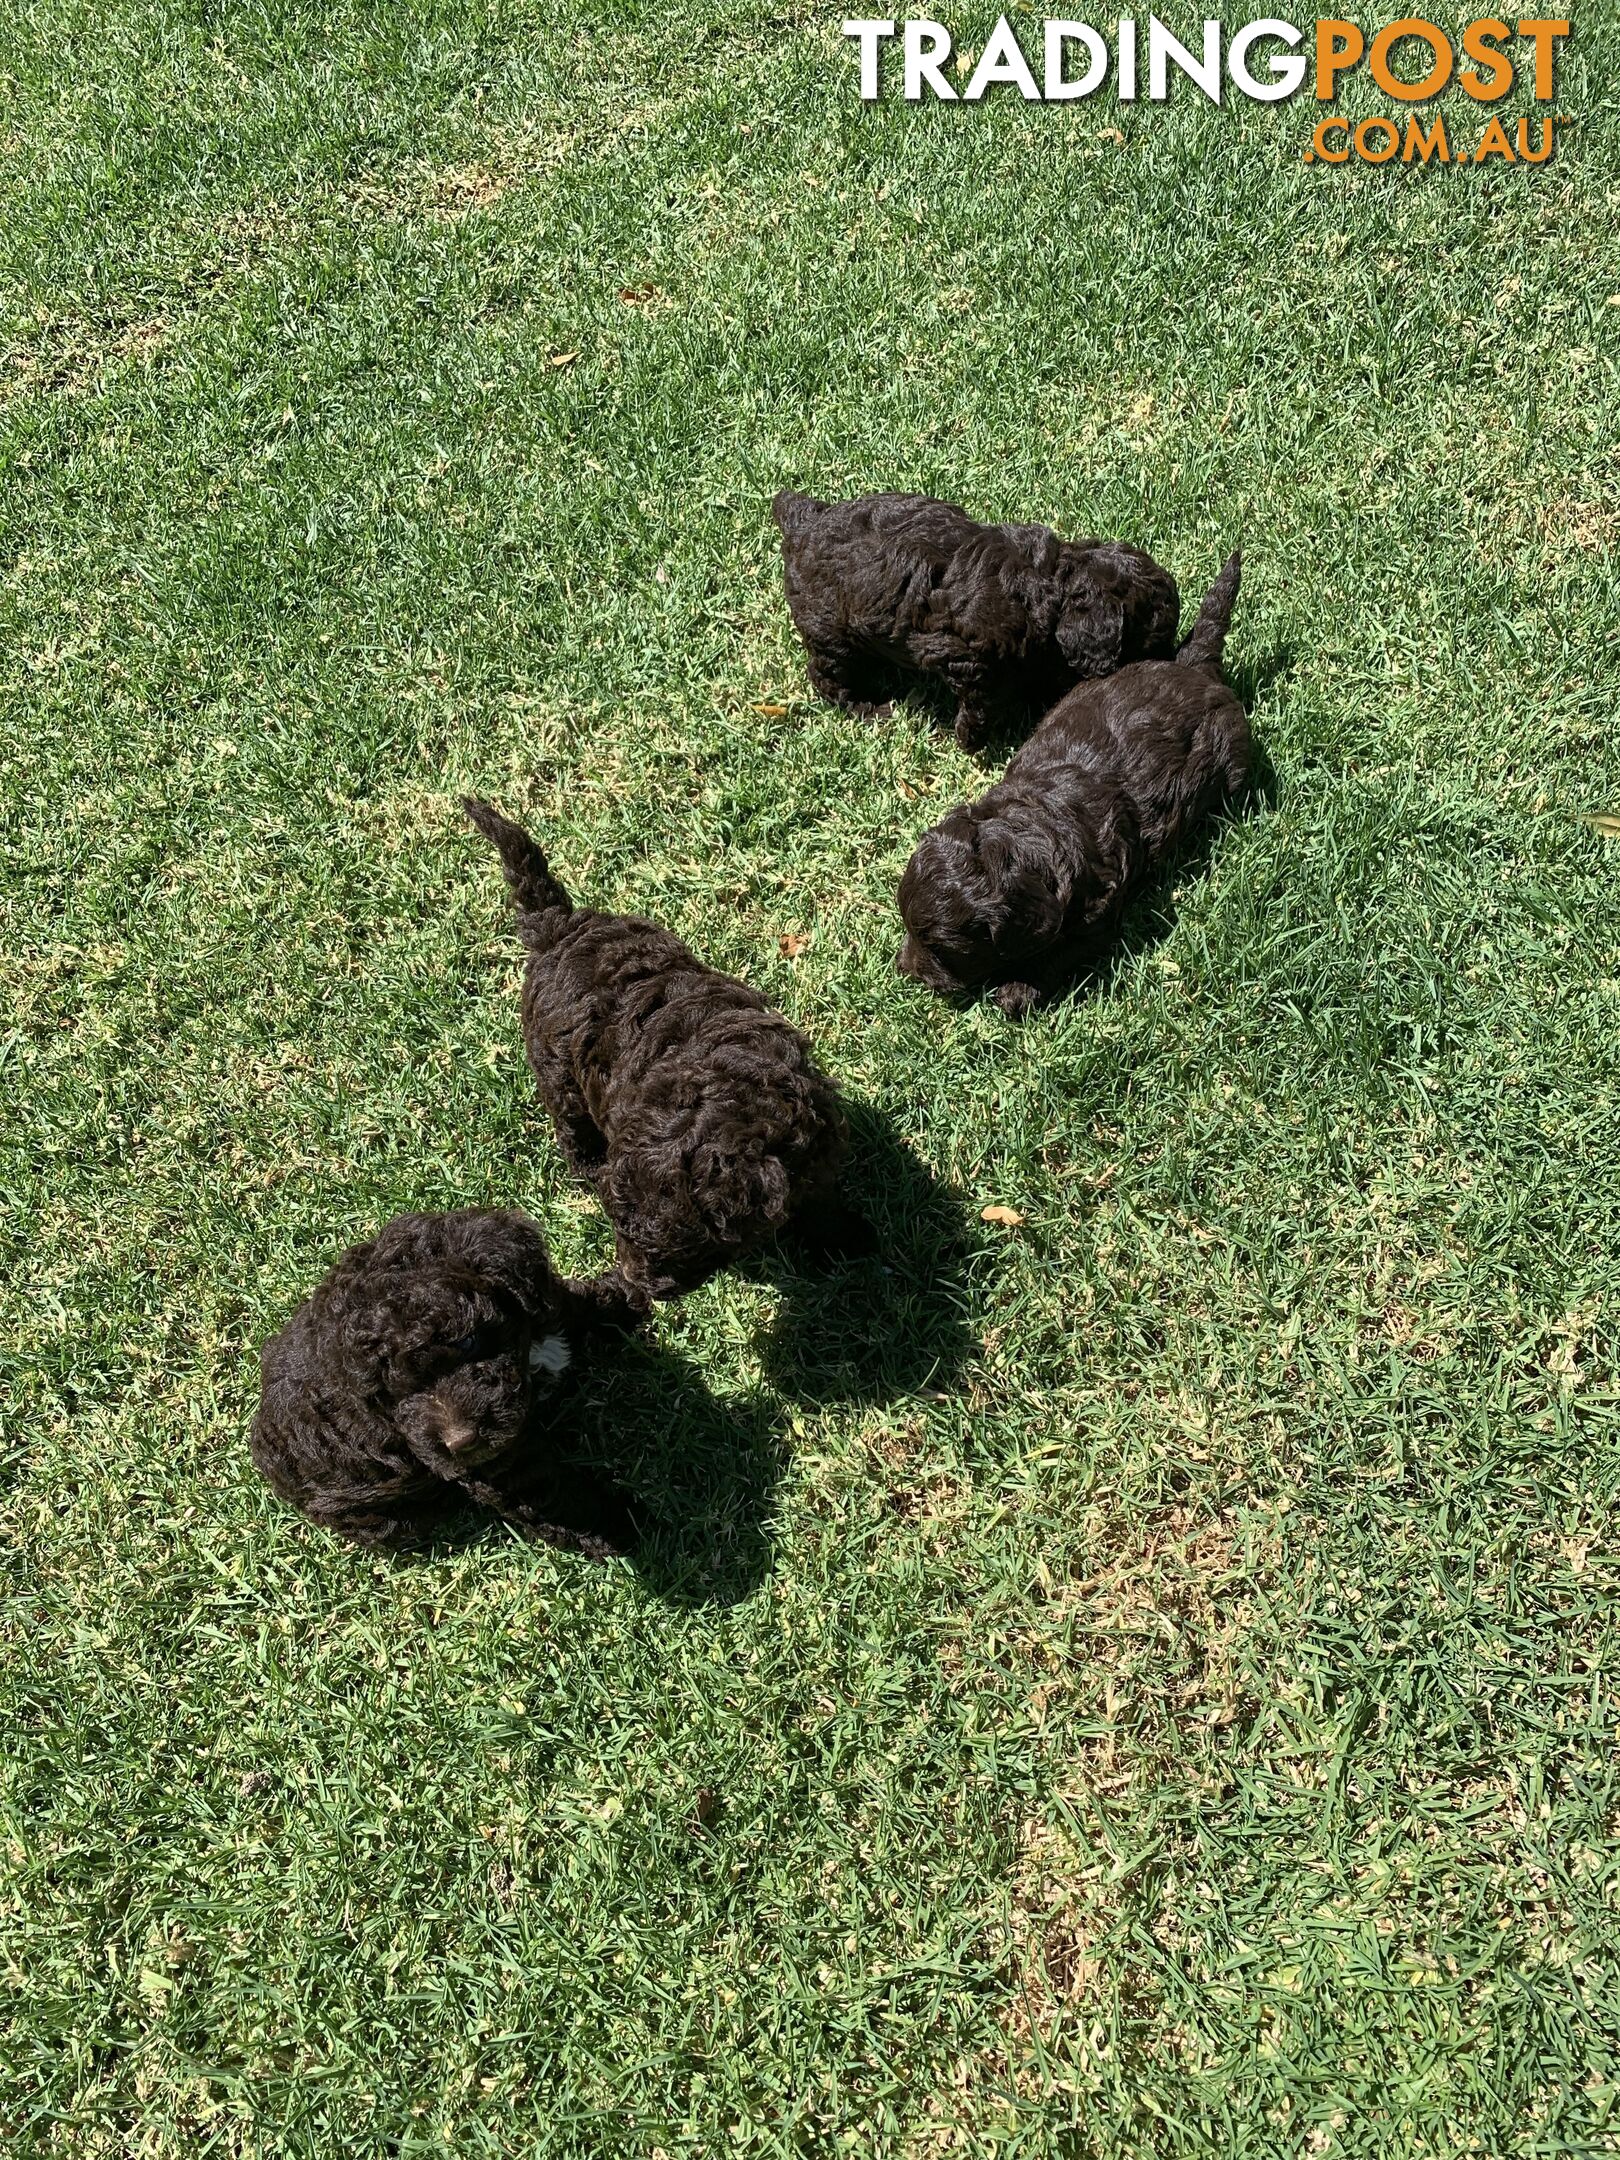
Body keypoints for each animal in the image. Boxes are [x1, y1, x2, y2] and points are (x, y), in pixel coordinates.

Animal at [250, 1218, 643, 1555]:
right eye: (389, 1395)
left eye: (467, 1341)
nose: (461, 1443)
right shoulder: (498, 1465)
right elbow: (551, 1492)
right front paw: (620, 1527)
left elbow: (572, 1306)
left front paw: (627, 1299)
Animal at [462, 799, 864, 1287]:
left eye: (683, 1249)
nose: (637, 1283)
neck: (736, 1101)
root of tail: (560, 929)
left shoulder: (819, 1138)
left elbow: (821, 1198)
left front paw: (841, 1238)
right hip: (554, 1068)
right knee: (570, 1122)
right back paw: (587, 1165)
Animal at [773, 490, 1183, 751]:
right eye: (1155, 643)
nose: (1172, 663)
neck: (1050, 583)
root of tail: (802, 522)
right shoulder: (968, 659)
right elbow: (980, 707)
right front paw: (971, 742)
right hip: (831, 630)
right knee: (828, 675)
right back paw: (868, 708)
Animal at [894, 557, 1252, 1028]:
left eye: (942, 951)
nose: (906, 968)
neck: (1027, 837)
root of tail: (1193, 666)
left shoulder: (1095, 914)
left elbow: (1057, 953)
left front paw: (1018, 989)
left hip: (1234, 751)